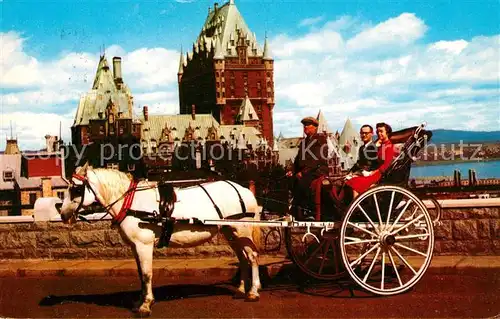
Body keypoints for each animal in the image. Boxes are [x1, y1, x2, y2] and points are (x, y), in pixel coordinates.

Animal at [57, 165, 262, 318]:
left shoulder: (144, 245)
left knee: (252, 256)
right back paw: (241, 289)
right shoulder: (135, 247)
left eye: (75, 189)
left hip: (242, 229)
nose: (63, 214)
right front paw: (139, 301)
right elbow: (141, 274)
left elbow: (147, 274)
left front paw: (146, 305)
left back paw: (253, 292)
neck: (131, 203)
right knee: (242, 257)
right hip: (231, 232)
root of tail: (244, 190)